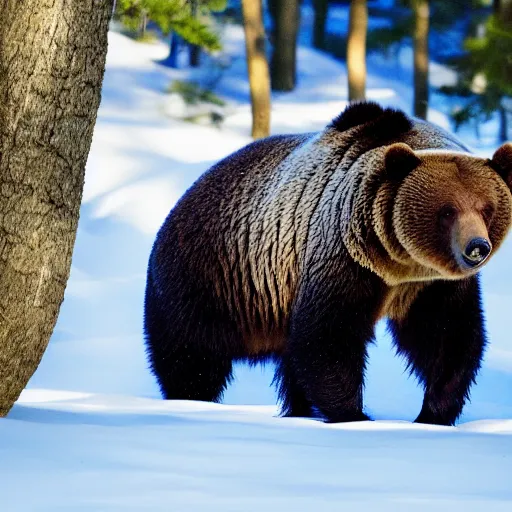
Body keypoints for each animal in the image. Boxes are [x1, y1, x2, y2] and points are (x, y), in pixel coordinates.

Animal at [144, 102, 512, 426]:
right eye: (447, 210)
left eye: (486, 208)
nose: (476, 248)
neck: (399, 265)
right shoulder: (343, 255)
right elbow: (327, 336)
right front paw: (355, 415)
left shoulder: (432, 287)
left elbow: (448, 339)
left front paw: (433, 413)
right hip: (208, 280)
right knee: (191, 356)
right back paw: (192, 400)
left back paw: (297, 409)